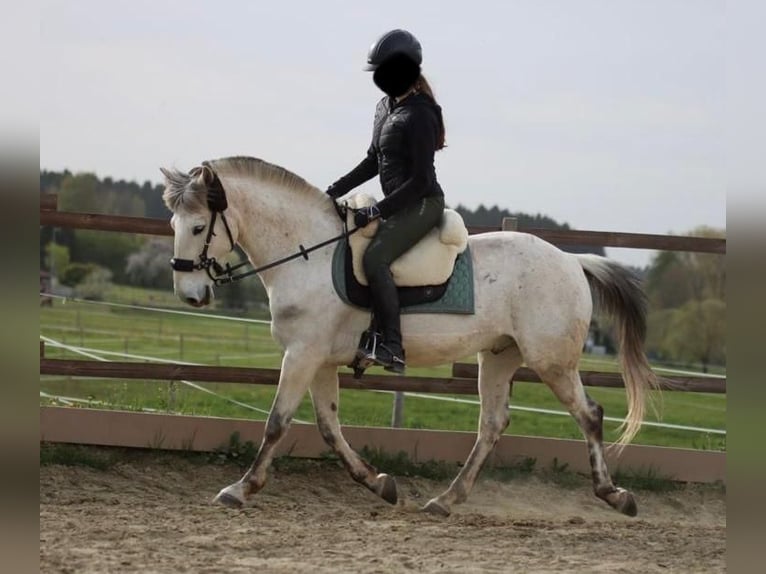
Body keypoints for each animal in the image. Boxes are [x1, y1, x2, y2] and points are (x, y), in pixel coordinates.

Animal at [161, 155, 658, 517]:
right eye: (173, 227)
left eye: (199, 227)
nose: (190, 294)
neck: (306, 255)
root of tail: (573, 262)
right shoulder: (319, 360)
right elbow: (328, 428)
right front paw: (381, 484)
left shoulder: (302, 355)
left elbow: (277, 423)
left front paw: (240, 489)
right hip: (499, 357)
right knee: (492, 424)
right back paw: (446, 501)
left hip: (552, 362)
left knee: (589, 414)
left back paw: (616, 495)